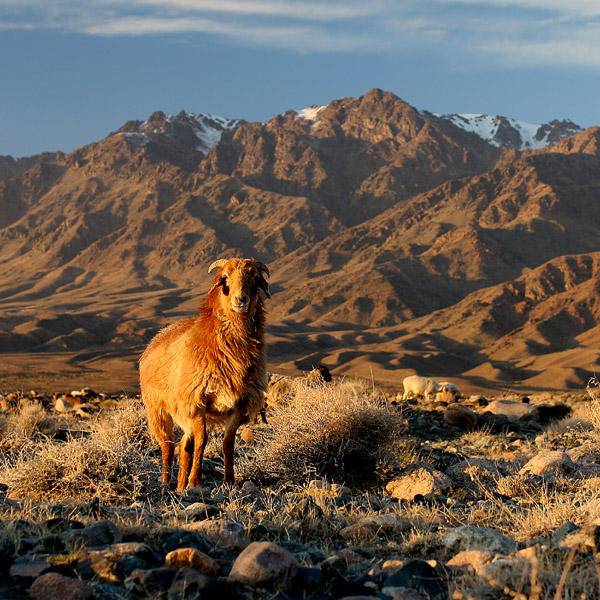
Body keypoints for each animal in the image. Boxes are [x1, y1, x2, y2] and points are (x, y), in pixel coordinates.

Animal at [138, 255, 270, 490]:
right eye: (224, 278)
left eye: (255, 278)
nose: (240, 299)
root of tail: (155, 339)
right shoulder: (196, 401)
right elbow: (203, 441)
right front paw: (195, 481)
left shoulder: (240, 404)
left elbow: (228, 444)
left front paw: (229, 482)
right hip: (158, 409)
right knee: (168, 446)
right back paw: (166, 483)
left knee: (184, 446)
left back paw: (180, 485)